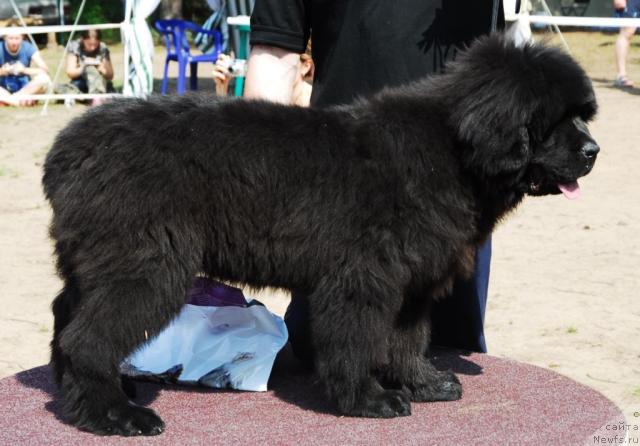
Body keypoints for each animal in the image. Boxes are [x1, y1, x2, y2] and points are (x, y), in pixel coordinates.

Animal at [42, 35, 596, 436]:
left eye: (582, 115)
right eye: (554, 120)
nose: (593, 151)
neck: (455, 152)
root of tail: (68, 149)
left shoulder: (410, 280)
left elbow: (408, 338)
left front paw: (423, 383)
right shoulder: (363, 276)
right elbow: (359, 340)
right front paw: (369, 400)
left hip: (97, 262)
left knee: (66, 320)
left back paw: (80, 400)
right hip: (147, 267)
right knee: (88, 338)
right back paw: (116, 415)